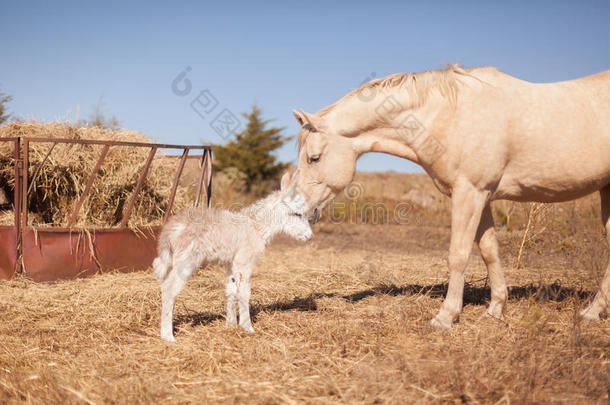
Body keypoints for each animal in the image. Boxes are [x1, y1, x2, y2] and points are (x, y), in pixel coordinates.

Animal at [152, 171, 308, 340]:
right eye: (296, 214)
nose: (309, 235)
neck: (256, 226)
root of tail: (170, 229)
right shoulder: (244, 263)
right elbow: (244, 293)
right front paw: (247, 327)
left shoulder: (232, 264)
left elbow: (231, 291)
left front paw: (231, 325)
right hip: (186, 261)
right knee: (169, 289)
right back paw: (168, 336)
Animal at [290, 64, 608, 328]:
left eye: (314, 158)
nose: (300, 210)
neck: (451, 116)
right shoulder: (482, 197)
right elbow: (489, 251)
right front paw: (495, 310)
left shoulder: (469, 193)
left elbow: (458, 254)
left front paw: (445, 317)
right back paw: (593, 312)